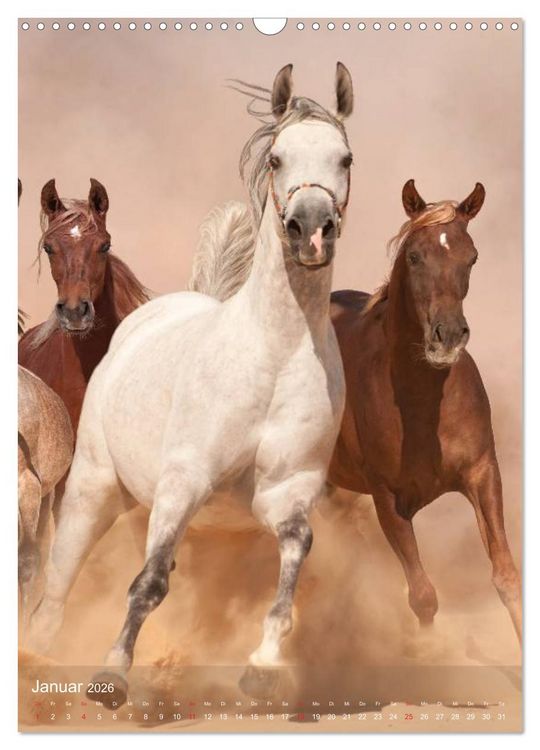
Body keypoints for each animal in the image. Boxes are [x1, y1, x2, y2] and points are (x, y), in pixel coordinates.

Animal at [328, 180, 521, 642]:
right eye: (415, 256)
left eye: (472, 257)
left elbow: (506, 576)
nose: (447, 335)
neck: (424, 405)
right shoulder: (388, 499)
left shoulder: (483, 473)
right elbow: (423, 597)